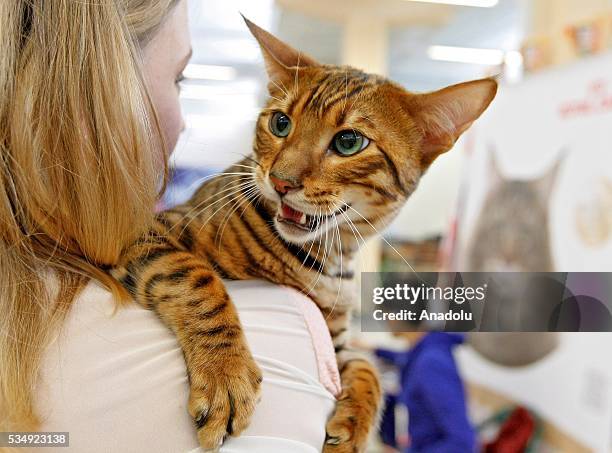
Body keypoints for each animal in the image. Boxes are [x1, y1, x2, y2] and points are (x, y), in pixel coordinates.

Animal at [113, 17, 498, 452]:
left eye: (349, 142)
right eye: (280, 123)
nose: (281, 181)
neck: (329, 257)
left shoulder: (337, 340)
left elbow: (367, 366)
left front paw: (355, 428)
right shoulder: (142, 230)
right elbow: (194, 277)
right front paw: (226, 372)